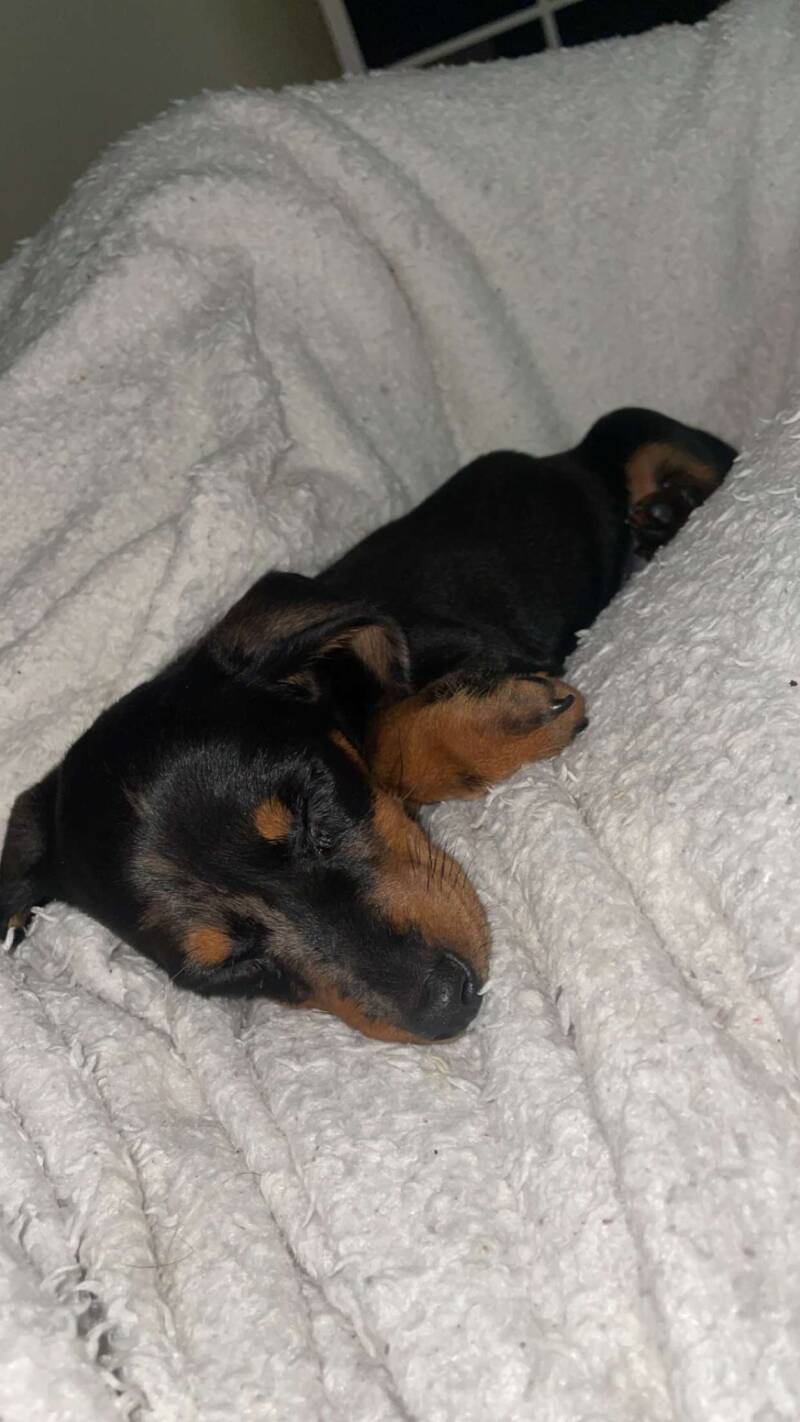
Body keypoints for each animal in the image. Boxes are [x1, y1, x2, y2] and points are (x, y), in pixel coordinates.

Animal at [0, 409, 736, 1042]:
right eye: (225, 967)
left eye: (314, 811)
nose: (447, 1005)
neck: (339, 682)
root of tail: (562, 457)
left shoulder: (476, 644)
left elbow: (386, 734)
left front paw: (502, 722)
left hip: (633, 432)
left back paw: (668, 508)